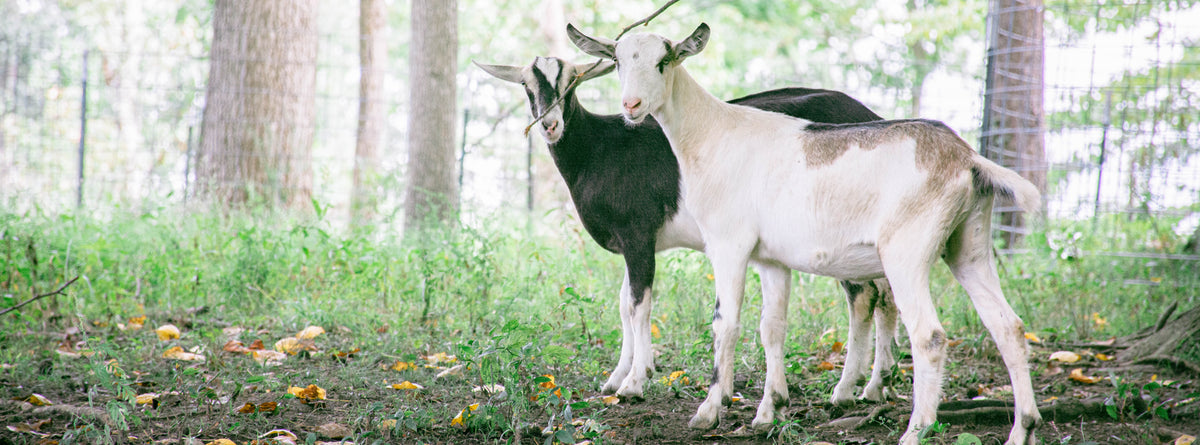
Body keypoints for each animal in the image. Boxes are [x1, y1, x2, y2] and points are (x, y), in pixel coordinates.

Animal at [474, 56, 898, 406]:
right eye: (527, 86)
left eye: (572, 83)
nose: (550, 124)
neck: (600, 149)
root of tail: (872, 115)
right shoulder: (631, 243)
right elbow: (623, 304)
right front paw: (615, 377)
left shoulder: (638, 233)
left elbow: (638, 305)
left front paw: (635, 382)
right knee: (886, 294)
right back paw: (877, 385)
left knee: (863, 297)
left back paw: (845, 390)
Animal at [568, 24, 1042, 445]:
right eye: (617, 61)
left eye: (663, 61)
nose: (631, 104)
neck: (711, 134)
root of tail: (967, 159)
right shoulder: (769, 259)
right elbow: (772, 327)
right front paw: (768, 411)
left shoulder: (728, 244)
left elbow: (725, 323)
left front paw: (708, 411)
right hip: (969, 246)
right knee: (1009, 327)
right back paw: (1023, 429)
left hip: (906, 252)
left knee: (929, 335)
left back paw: (915, 430)